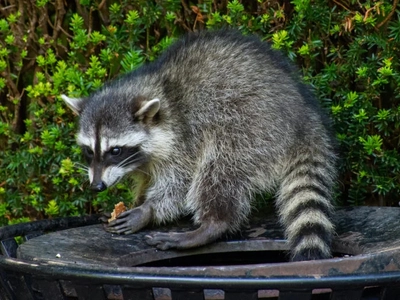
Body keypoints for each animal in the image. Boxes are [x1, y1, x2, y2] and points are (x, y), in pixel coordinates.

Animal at [62, 29, 338, 260]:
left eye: (116, 150)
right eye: (89, 151)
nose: (97, 186)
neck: (158, 89)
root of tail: (304, 116)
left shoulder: (184, 137)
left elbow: (179, 182)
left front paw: (148, 210)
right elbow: (146, 179)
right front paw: (137, 200)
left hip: (252, 126)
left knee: (219, 169)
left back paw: (212, 224)